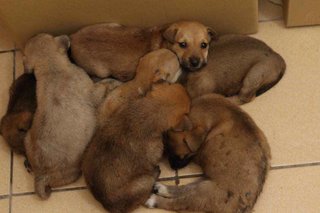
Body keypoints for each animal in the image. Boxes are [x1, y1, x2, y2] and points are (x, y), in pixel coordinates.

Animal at [69, 20, 215, 80]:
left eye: (204, 45)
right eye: (182, 44)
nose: (195, 63)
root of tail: (73, 37)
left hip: (113, 24)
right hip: (101, 72)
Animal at [82, 83, 190, 213]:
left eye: (170, 84)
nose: (186, 89)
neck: (148, 111)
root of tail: (106, 204)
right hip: (145, 181)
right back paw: (155, 172)